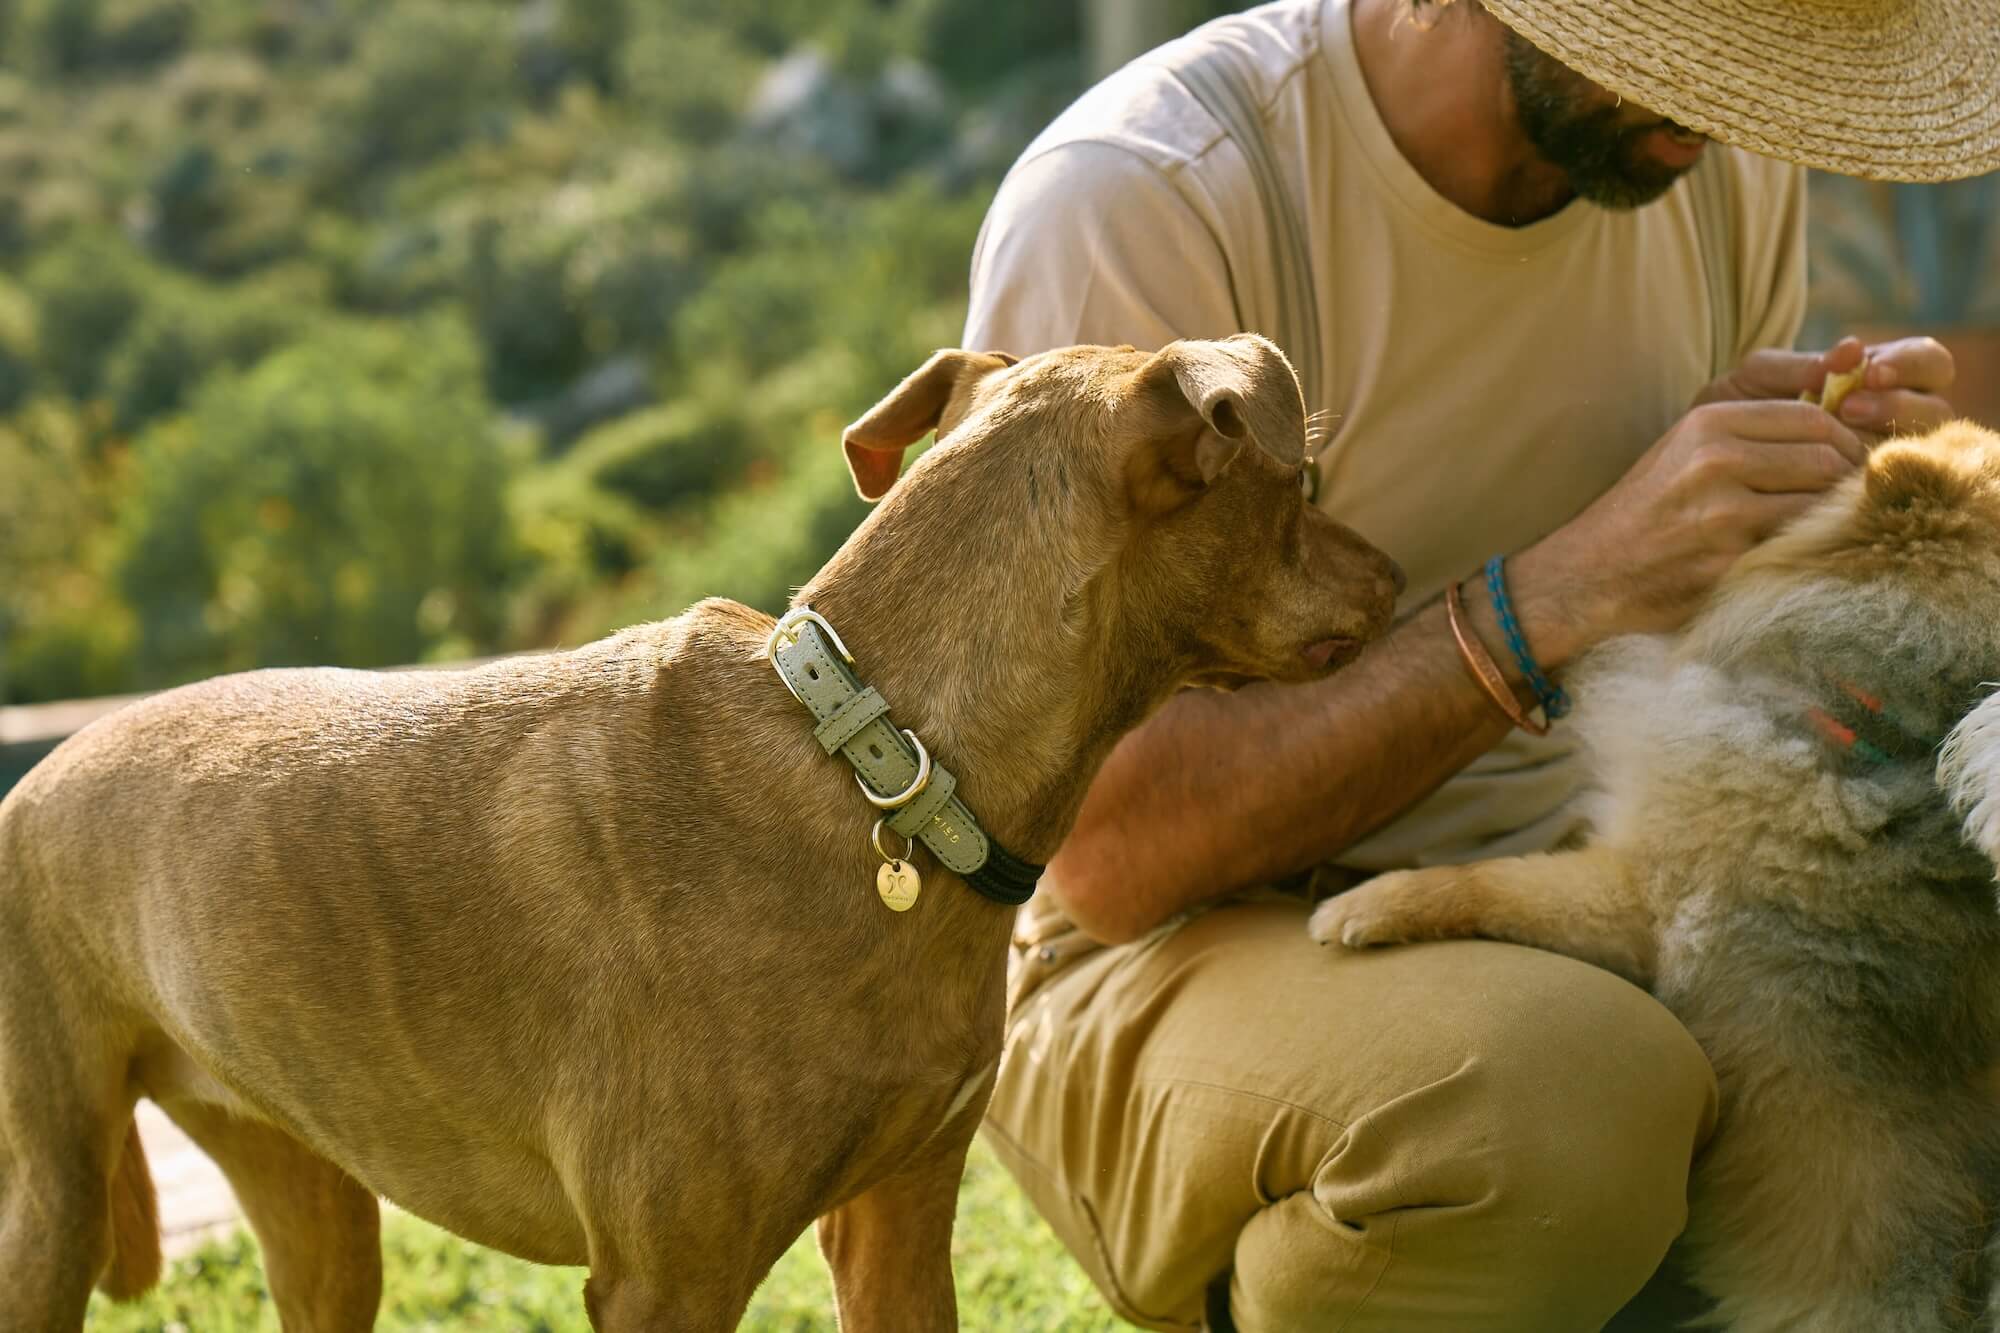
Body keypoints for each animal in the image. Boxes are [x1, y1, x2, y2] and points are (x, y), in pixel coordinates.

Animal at [3, 334, 1408, 1328]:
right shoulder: (663, 1281)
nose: (1401, 576)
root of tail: (46, 766)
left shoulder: (896, 1225)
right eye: (1302, 478)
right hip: (51, 1201)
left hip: (311, 1202)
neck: (885, 764)